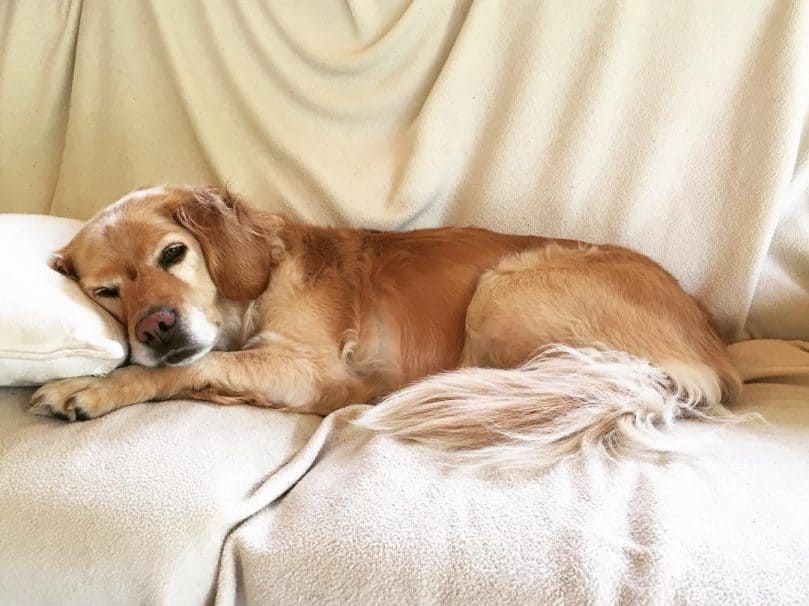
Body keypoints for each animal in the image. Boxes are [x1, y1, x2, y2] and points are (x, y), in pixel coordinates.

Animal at [30, 186, 740, 470]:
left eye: (173, 254)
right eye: (105, 292)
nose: (156, 327)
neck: (253, 293)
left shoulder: (313, 369)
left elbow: (199, 365)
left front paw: (92, 387)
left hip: (503, 287)